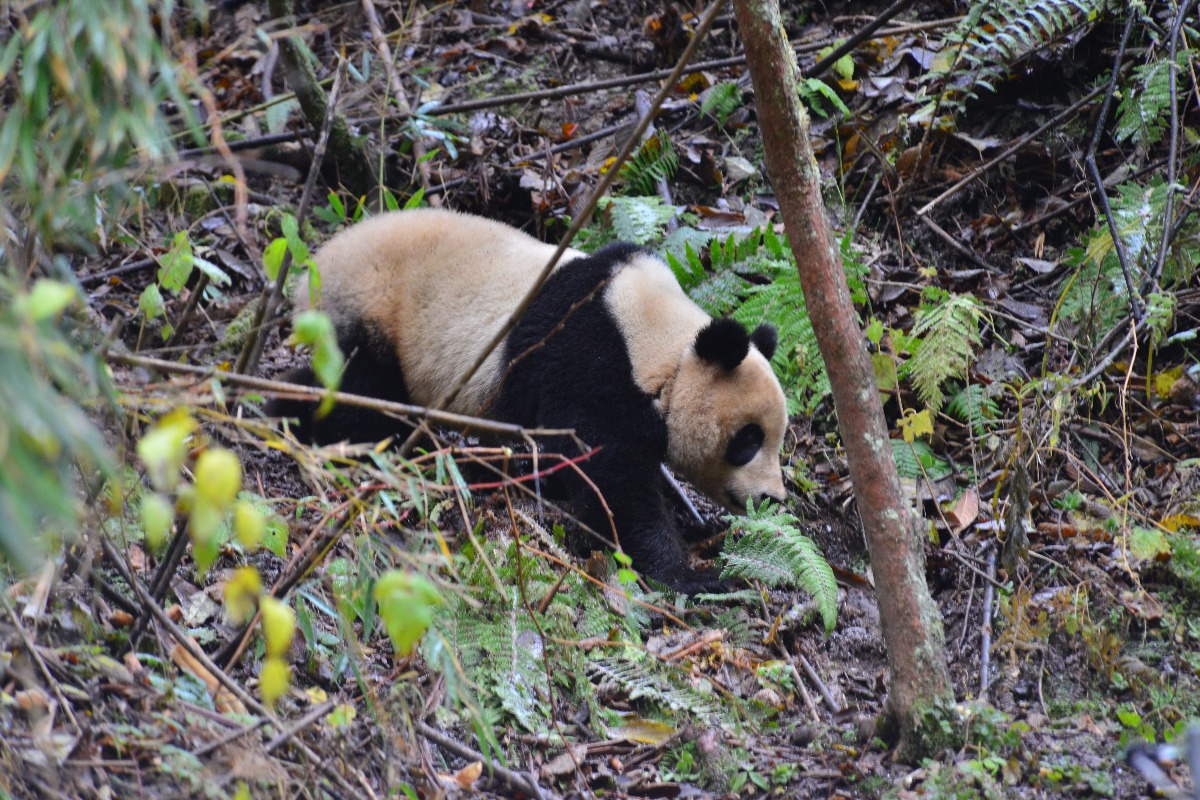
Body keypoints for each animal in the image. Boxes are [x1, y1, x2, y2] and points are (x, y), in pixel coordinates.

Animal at [276, 209, 792, 592]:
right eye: (747, 440)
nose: (772, 497)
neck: (659, 345)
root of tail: (310, 274)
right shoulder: (587, 365)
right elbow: (612, 479)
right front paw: (691, 574)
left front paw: (704, 527)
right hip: (370, 310)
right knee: (361, 396)